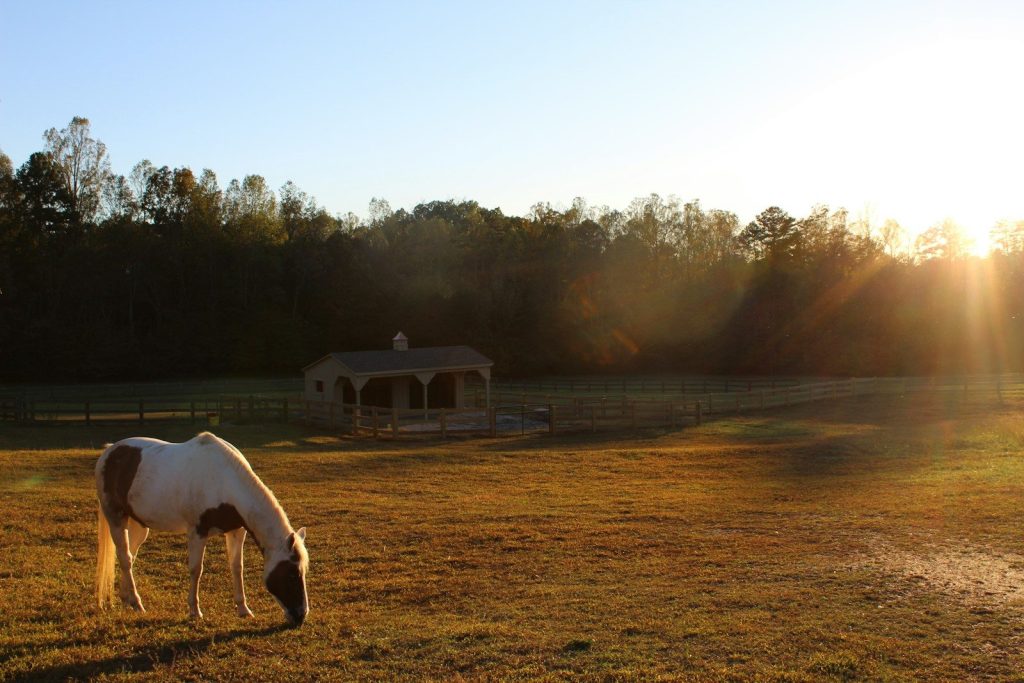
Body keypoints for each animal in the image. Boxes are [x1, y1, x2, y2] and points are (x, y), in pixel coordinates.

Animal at [95, 432, 309, 625]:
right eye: (292, 574)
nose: (300, 616)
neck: (223, 480)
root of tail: (110, 451)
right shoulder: (198, 532)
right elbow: (196, 569)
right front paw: (194, 611)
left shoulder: (236, 531)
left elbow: (236, 567)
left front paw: (243, 609)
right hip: (115, 517)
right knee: (125, 558)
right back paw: (137, 603)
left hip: (138, 525)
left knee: (129, 556)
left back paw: (127, 600)